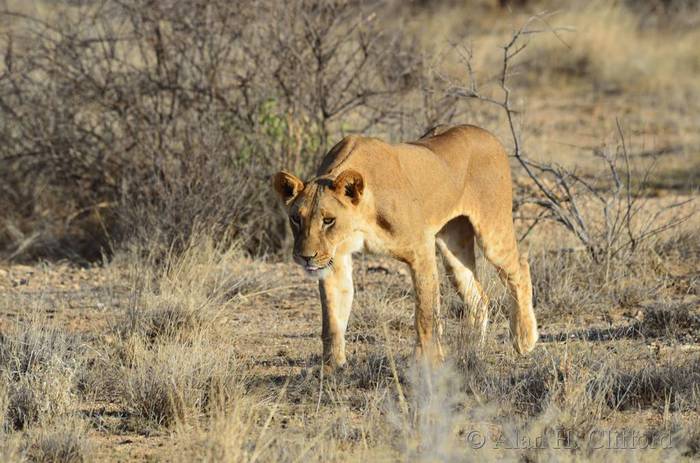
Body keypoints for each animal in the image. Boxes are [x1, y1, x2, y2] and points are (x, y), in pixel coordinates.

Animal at [272, 124, 538, 372]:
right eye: (296, 218)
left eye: (328, 220)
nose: (305, 257)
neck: (361, 218)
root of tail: (486, 133)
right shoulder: (334, 260)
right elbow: (332, 318)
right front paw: (331, 369)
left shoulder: (421, 248)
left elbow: (425, 314)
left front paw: (429, 365)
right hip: (454, 247)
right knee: (479, 296)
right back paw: (469, 352)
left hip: (492, 232)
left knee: (520, 268)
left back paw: (524, 339)